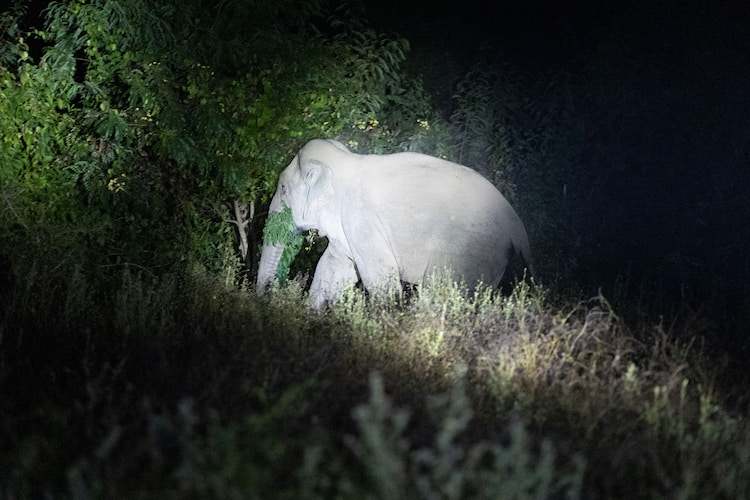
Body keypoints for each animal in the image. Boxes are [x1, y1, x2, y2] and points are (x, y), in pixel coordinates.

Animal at [257, 139, 534, 308]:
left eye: (283, 188)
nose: (266, 297)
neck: (344, 159)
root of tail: (518, 228)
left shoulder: (362, 220)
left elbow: (379, 279)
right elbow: (333, 268)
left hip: (470, 253)